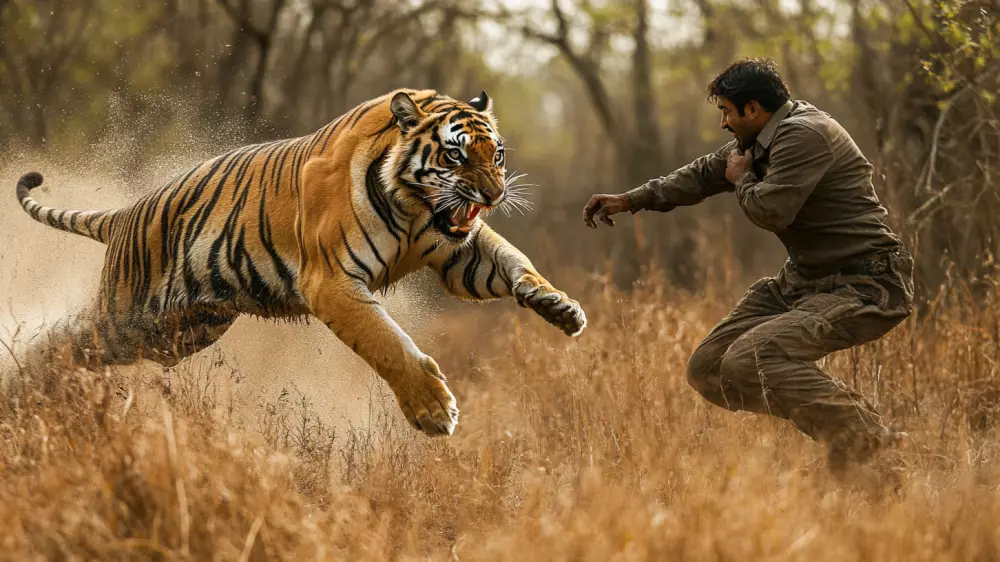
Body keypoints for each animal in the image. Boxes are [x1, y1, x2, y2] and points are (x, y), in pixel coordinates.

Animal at [15, 87, 584, 436]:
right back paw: (24, 383)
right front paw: (433, 410)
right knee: (65, 338)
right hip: (129, 314)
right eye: (455, 154)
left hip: (181, 329)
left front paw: (560, 307)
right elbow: (388, 344)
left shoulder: (460, 253)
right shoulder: (331, 282)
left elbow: (513, 262)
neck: (415, 207)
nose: (494, 194)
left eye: (498, 154)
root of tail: (125, 213)